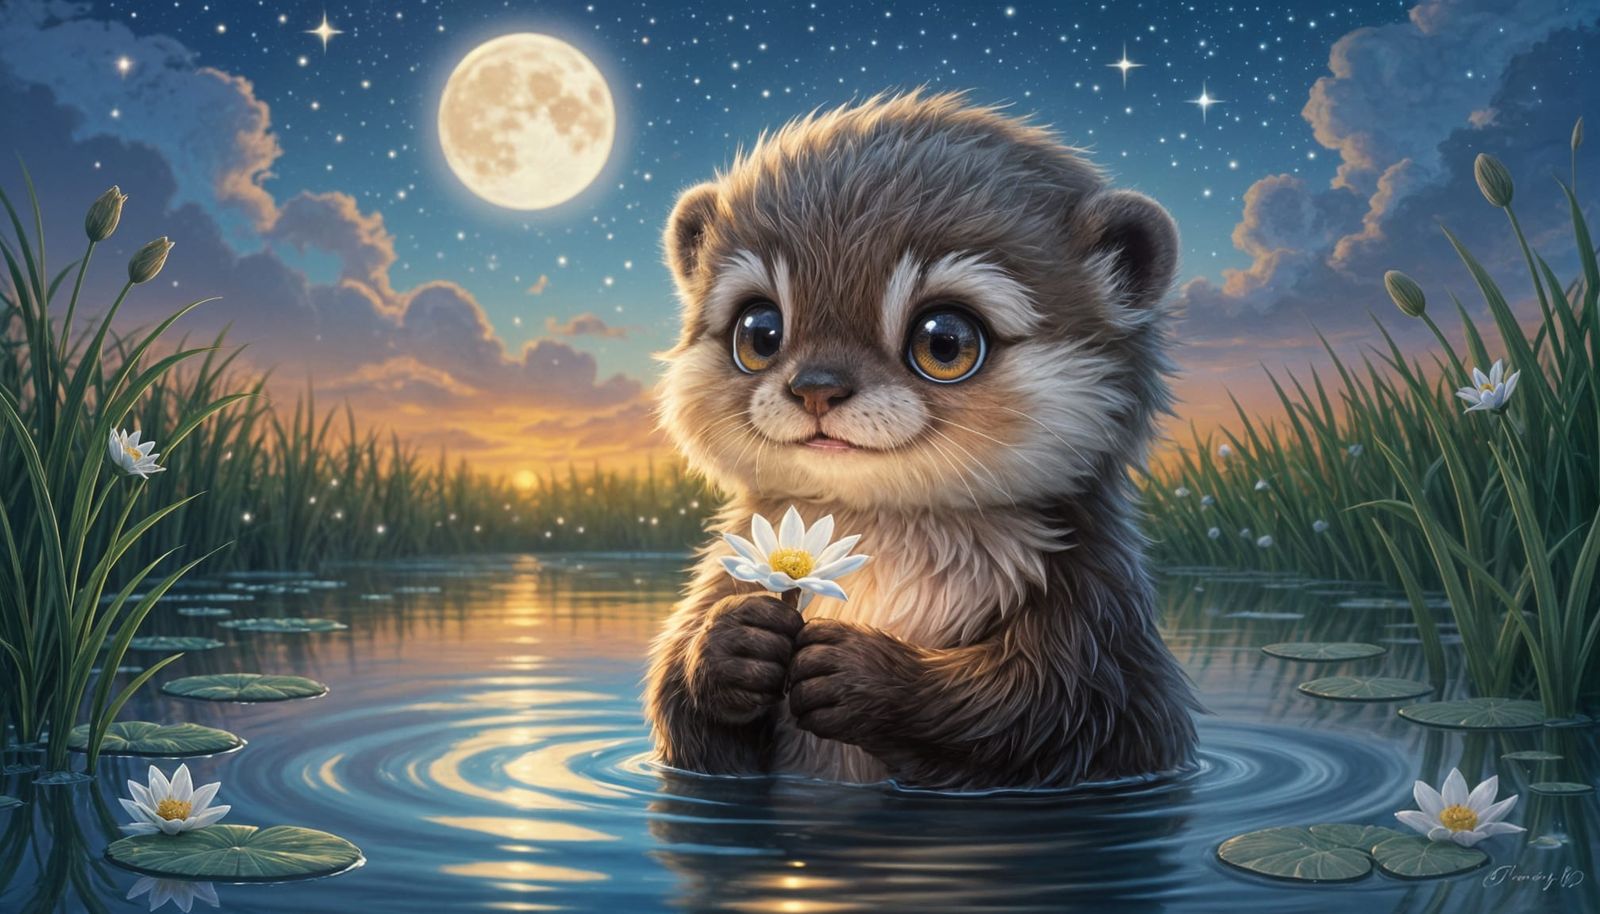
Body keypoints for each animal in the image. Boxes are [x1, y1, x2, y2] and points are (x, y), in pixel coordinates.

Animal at [646, 91, 1199, 790]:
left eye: (945, 341)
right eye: (760, 331)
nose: (816, 387)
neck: (884, 545)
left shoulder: (1101, 633)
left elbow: (1035, 710)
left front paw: (866, 676)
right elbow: (689, 725)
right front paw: (728, 646)